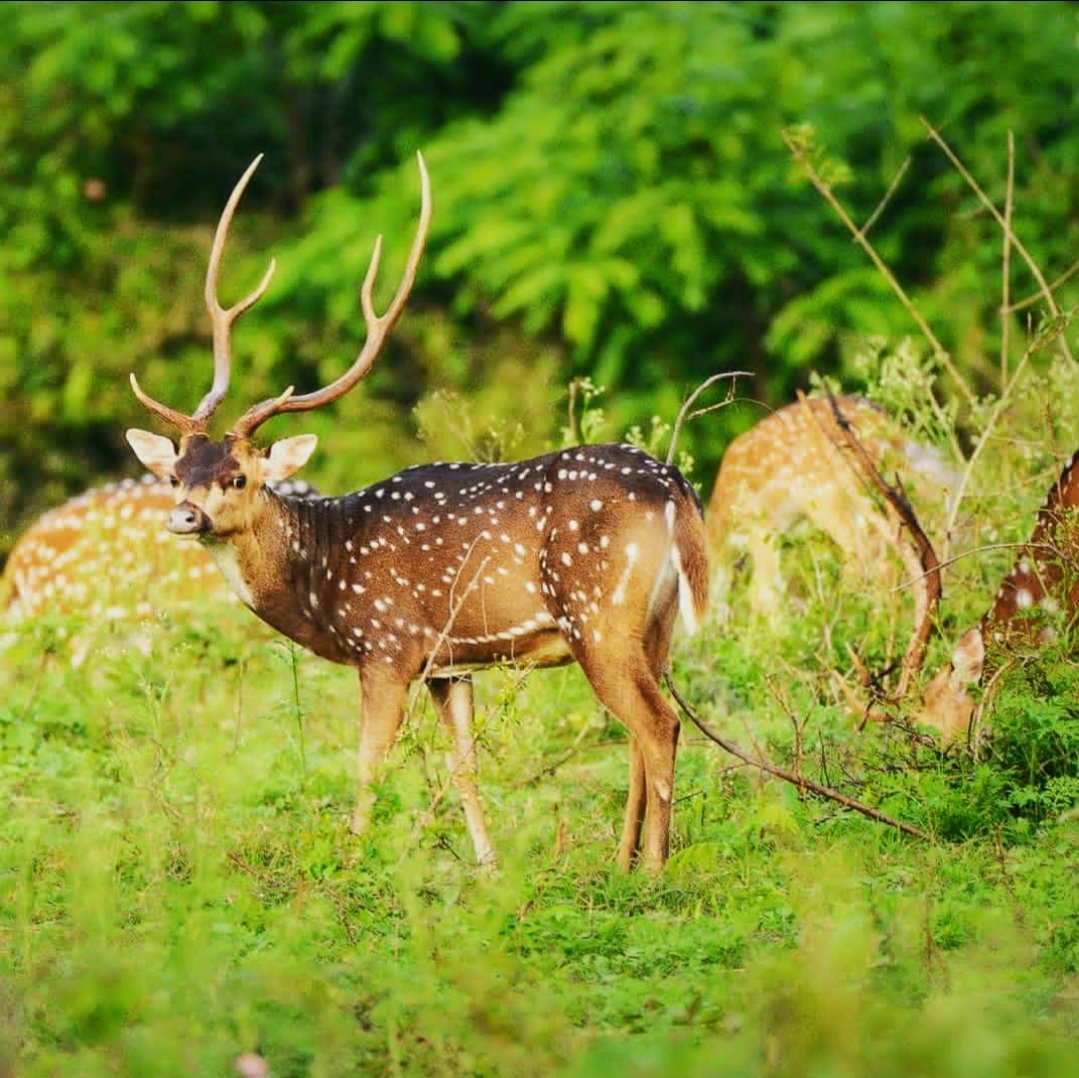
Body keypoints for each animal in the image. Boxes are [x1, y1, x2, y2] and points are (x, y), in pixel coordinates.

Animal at [122, 152, 707, 871]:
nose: (183, 517)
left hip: (598, 613)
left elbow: (369, 762)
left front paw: (349, 864)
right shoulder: (448, 665)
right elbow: (464, 764)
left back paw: (651, 872)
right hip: (653, 626)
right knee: (638, 731)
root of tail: (674, 486)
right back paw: (620, 864)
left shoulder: (387, 644)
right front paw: (488, 866)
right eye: (176, 474)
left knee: (658, 724)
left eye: (237, 476)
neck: (322, 577)